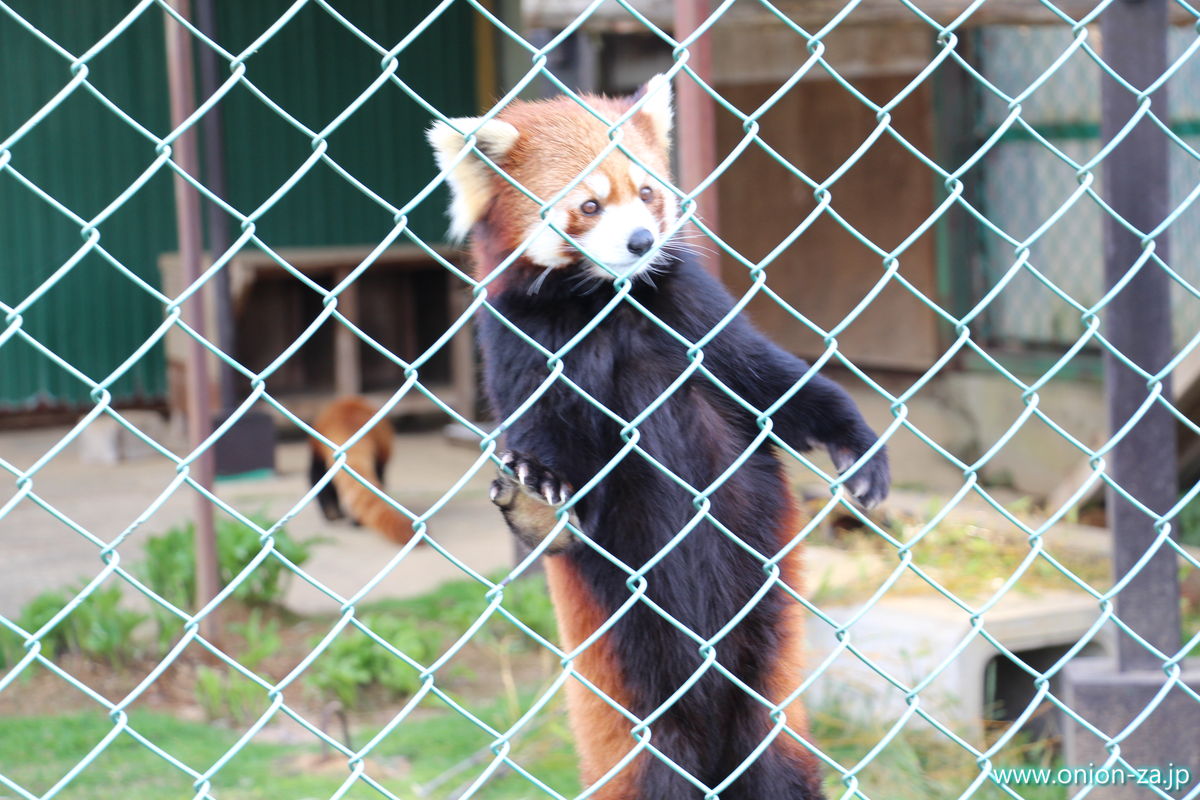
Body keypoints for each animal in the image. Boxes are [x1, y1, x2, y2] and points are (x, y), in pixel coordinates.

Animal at [427, 74, 888, 800]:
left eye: (646, 191)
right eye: (588, 204)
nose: (642, 240)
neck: (604, 303)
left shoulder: (691, 308)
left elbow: (771, 383)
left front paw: (855, 443)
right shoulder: (519, 337)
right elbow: (554, 447)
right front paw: (540, 490)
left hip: (771, 688)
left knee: (779, 766)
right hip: (637, 723)